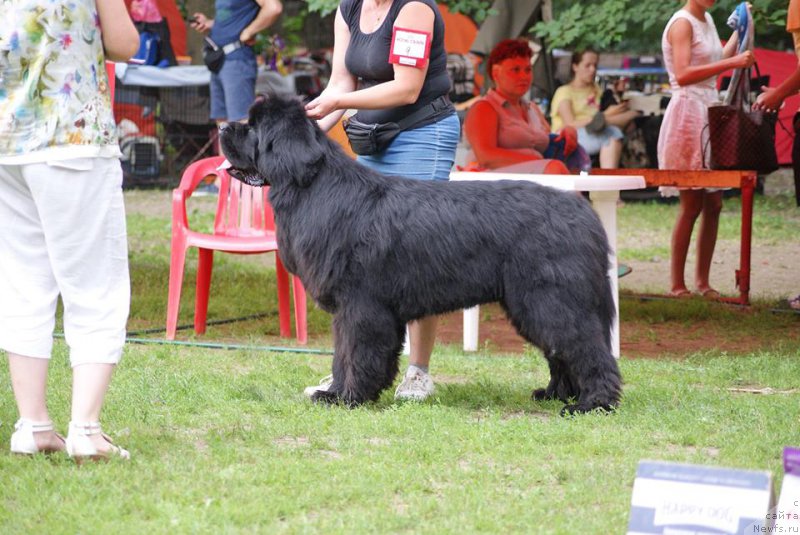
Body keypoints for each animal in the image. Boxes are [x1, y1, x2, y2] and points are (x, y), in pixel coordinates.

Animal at [220, 95, 624, 414]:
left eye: (254, 128)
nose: (223, 125)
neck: (314, 186)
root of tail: (583, 213)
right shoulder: (359, 309)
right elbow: (343, 356)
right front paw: (335, 392)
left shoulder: (360, 306)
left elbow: (354, 353)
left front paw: (348, 398)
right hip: (533, 304)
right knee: (561, 351)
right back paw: (555, 394)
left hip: (551, 299)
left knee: (587, 348)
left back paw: (593, 404)